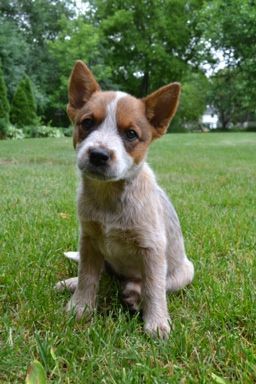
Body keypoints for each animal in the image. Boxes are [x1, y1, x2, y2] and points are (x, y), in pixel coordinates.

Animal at [57, 60, 194, 340]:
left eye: (131, 134)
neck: (109, 197)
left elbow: (154, 288)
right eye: (87, 122)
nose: (98, 154)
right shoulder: (88, 239)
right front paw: (80, 306)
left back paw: (134, 294)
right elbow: (88, 275)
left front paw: (157, 322)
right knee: (102, 275)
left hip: (186, 271)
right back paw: (71, 283)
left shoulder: (152, 248)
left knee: (156, 285)